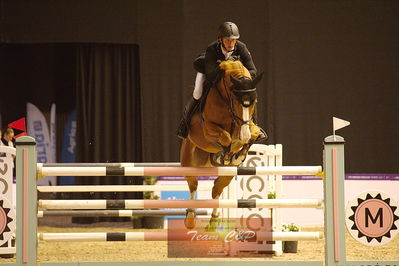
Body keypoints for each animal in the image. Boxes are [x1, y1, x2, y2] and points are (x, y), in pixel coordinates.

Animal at [180, 60, 262, 229]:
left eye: (254, 102)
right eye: (236, 102)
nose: (244, 134)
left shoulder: (247, 125)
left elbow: (253, 134)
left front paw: (238, 154)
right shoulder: (208, 128)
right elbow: (226, 137)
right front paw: (228, 153)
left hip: (228, 174)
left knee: (216, 188)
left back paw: (213, 222)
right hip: (188, 162)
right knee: (193, 184)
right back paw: (190, 219)